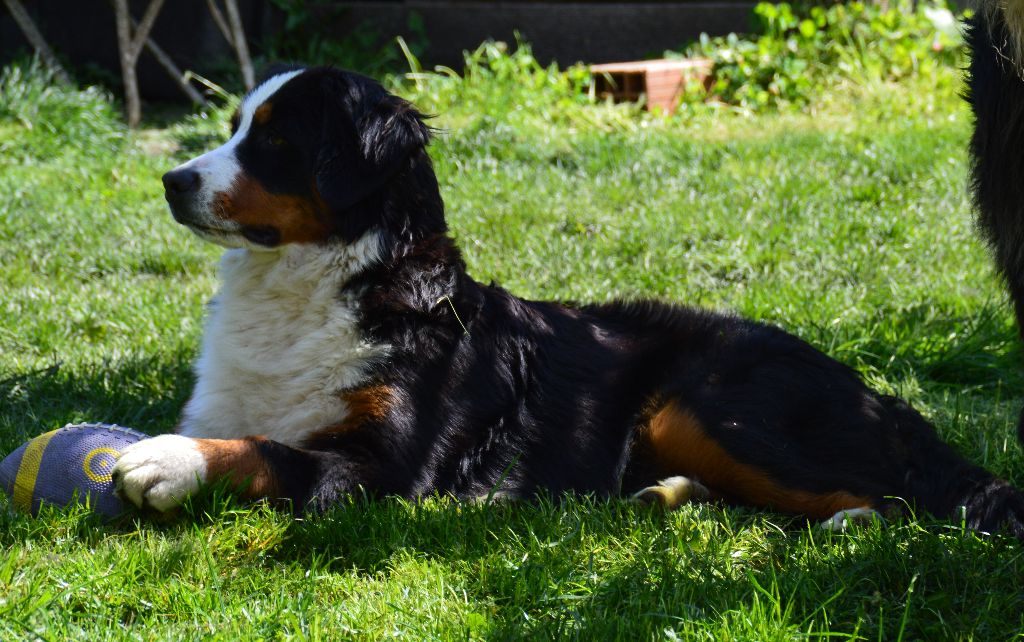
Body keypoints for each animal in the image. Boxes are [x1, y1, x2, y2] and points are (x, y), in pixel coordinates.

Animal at [112, 66, 1024, 536]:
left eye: (273, 139)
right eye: (234, 126)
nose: (171, 180)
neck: (312, 287)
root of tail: (866, 386)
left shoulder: (383, 470)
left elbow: (266, 450)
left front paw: (168, 461)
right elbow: (248, 430)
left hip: (711, 404)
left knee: (899, 495)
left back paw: (847, 525)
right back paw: (663, 498)